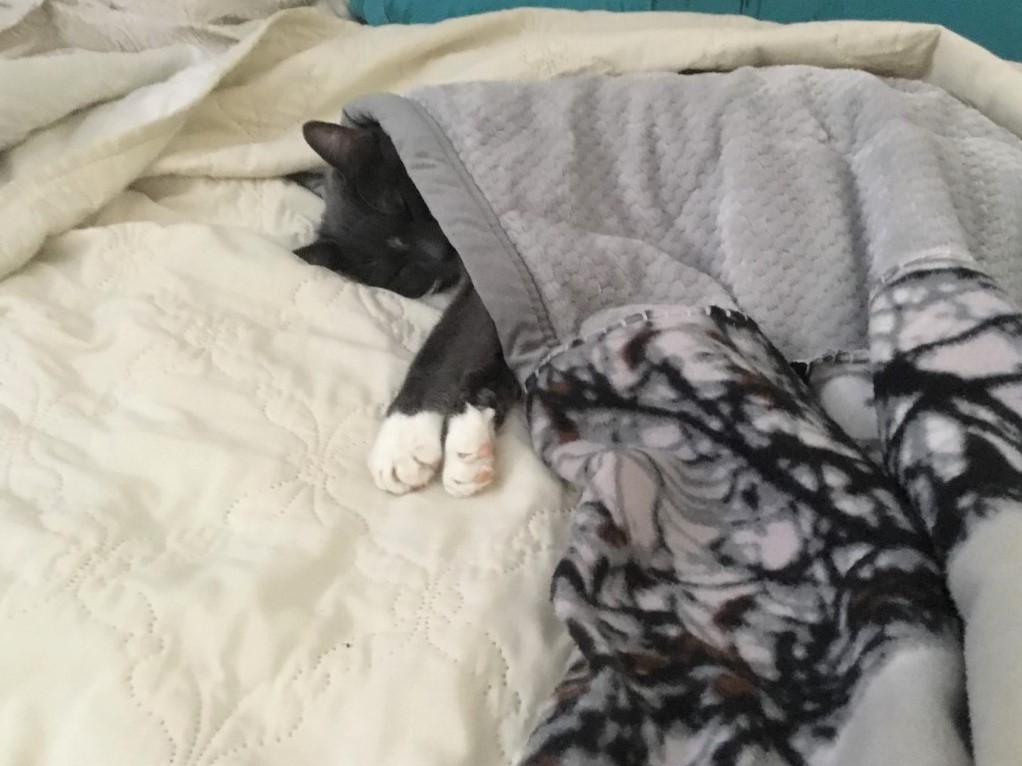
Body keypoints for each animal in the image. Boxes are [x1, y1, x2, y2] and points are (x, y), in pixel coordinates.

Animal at [296, 119, 520, 497]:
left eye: (406, 204)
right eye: (403, 271)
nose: (439, 251)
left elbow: (450, 341)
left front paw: (403, 438)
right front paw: (472, 432)